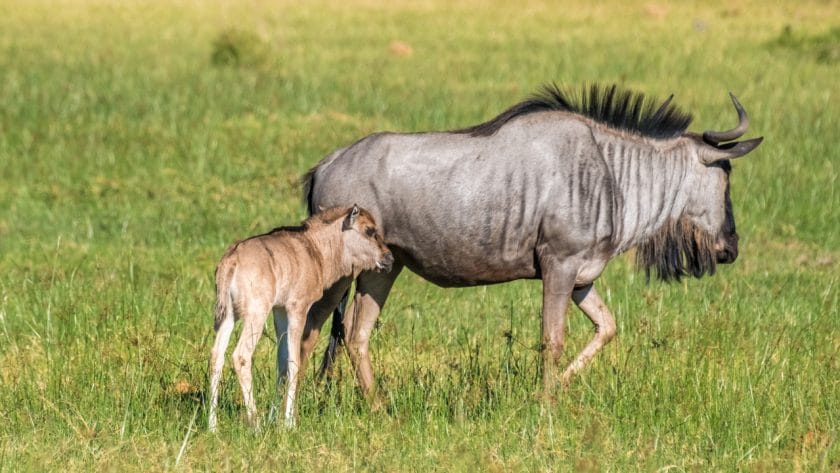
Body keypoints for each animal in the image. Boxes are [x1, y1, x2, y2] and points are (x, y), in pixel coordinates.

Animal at [208, 205, 396, 430]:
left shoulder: (279, 311)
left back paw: (212, 426)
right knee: (241, 355)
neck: (314, 250)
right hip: (256, 313)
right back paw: (256, 424)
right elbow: (294, 361)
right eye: (369, 230)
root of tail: (232, 259)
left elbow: (281, 362)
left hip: (227, 315)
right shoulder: (297, 308)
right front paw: (289, 423)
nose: (389, 258)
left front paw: (274, 418)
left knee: (216, 356)